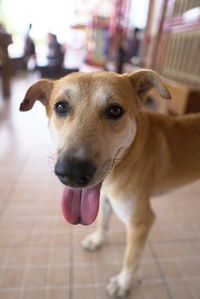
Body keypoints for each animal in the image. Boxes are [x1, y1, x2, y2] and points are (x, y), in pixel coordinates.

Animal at [19, 69, 200, 298]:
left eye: (115, 110)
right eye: (60, 107)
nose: (72, 173)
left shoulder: (140, 222)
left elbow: (130, 258)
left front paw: (123, 283)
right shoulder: (104, 199)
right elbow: (102, 222)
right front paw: (97, 240)